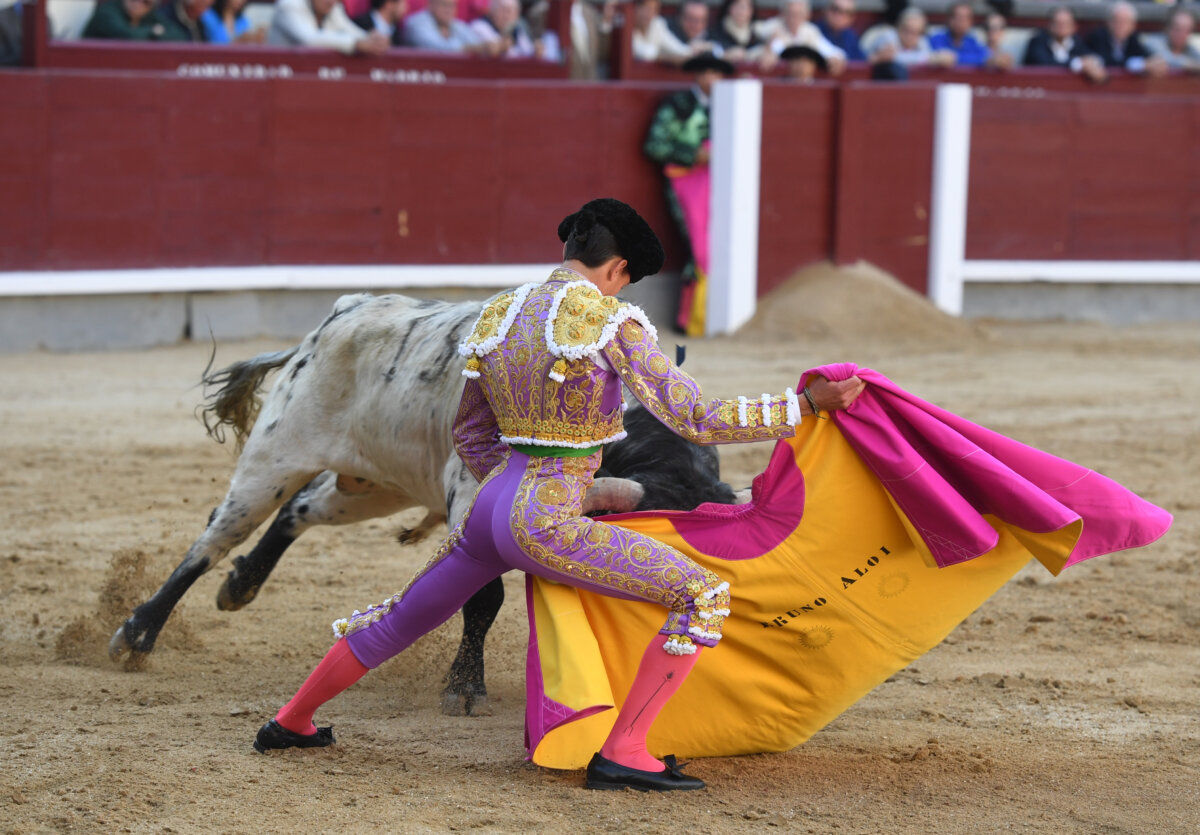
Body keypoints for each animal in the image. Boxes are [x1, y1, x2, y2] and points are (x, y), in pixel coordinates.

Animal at [107, 292, 744, 714]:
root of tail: (340, 315)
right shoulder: (470, 503)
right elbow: (482, 599)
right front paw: (462, 686)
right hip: (275, 454)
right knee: (215, 538)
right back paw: (138, 632)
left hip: (375, 487)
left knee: (299, 511)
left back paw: (241, 585)